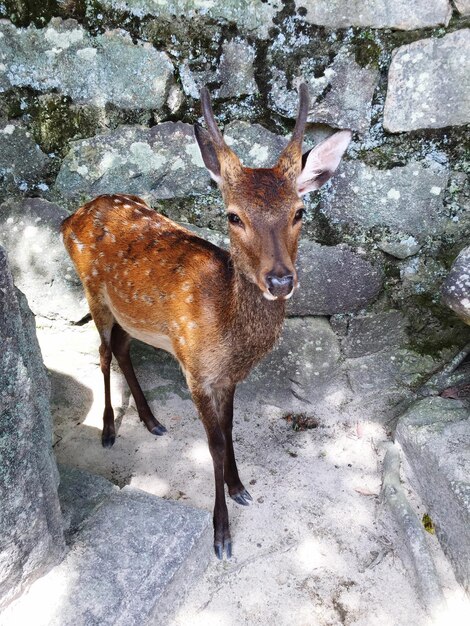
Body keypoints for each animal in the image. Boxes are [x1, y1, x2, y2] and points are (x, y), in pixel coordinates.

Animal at [60, 84, 350, 556]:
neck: (226, 331)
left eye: (299, 212)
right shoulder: (195, 369)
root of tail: (71, 216)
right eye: (234, 216)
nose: (281, 280)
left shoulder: (228, 376)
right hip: (94, 292)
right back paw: (107, 430)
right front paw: (221, 532)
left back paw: (152, 420)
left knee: (120, 348)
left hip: (130, 313)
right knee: (102, 353)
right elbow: (213, 444)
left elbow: (229, 430)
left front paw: (240, 487)